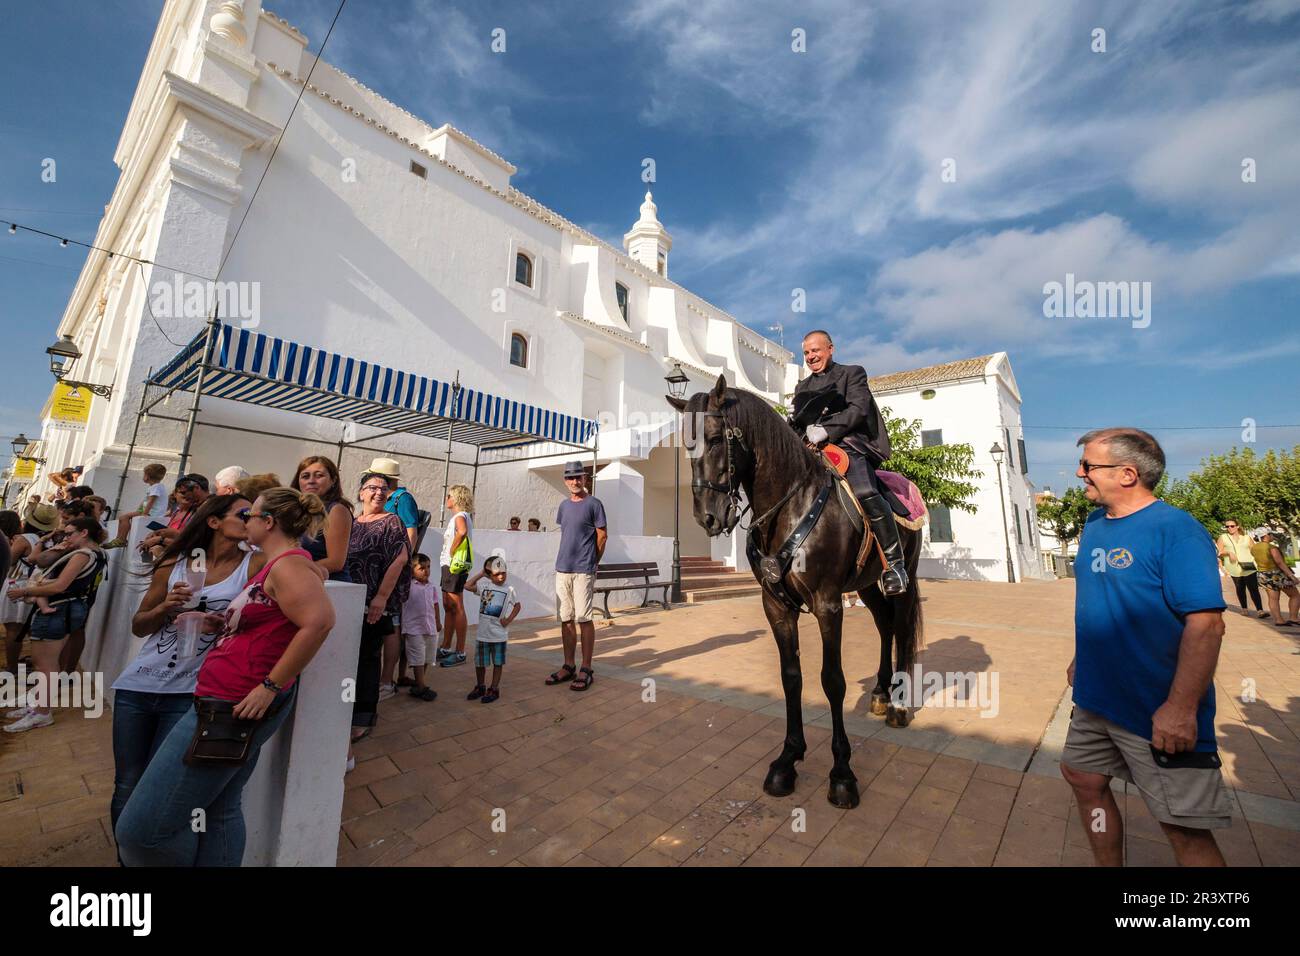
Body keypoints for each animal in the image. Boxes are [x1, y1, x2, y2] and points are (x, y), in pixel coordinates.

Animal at [670, 374, 925, 806]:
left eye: (717, 438)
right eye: (688, 445)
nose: (708, 517)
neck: (792, 503)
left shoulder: (828, 603)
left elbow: (832, 680)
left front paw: (842, 773)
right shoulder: (775, 604)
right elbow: (792, 676)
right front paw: (788, 760)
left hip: (903, 578)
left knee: (903, 630)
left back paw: (900, 705)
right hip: (867, 585)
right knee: (885, 626)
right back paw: (880, 691)